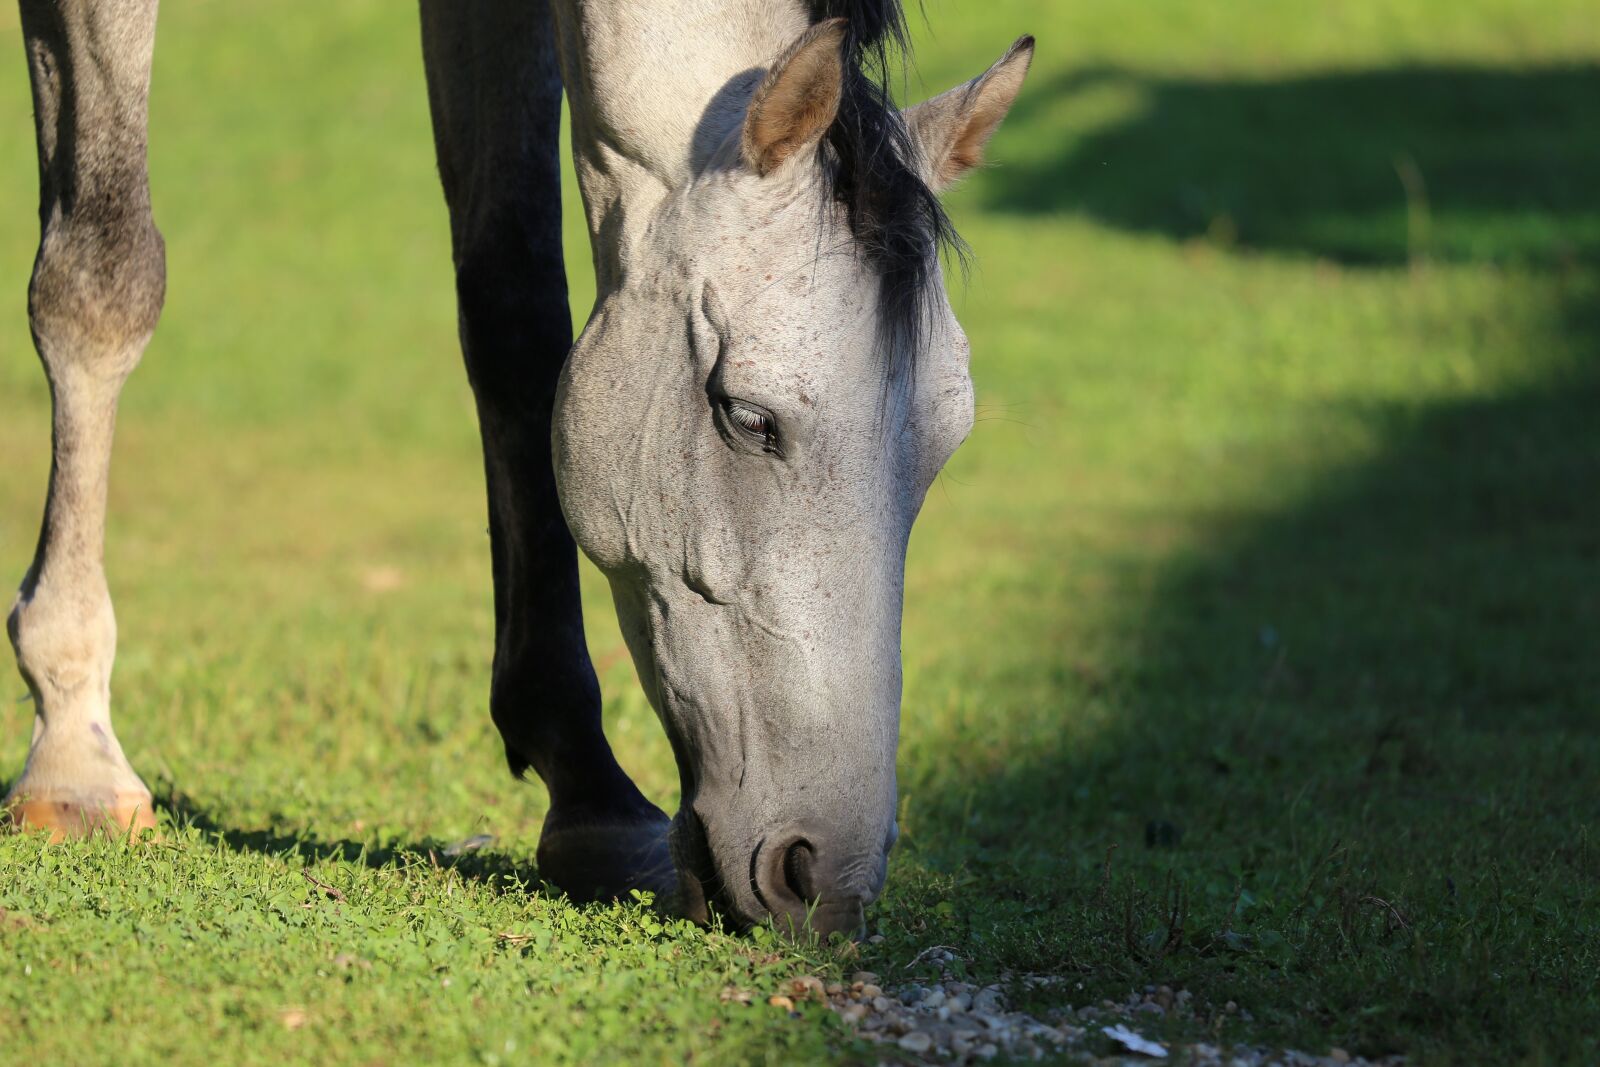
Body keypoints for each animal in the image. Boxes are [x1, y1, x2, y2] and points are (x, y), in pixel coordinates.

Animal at [5, 0, 1031, 935]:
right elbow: (102, 278)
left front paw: (588, 787)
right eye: (748, 417)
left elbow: (516, 304)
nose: (825, 880)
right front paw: (75, 752)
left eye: (943, 448)